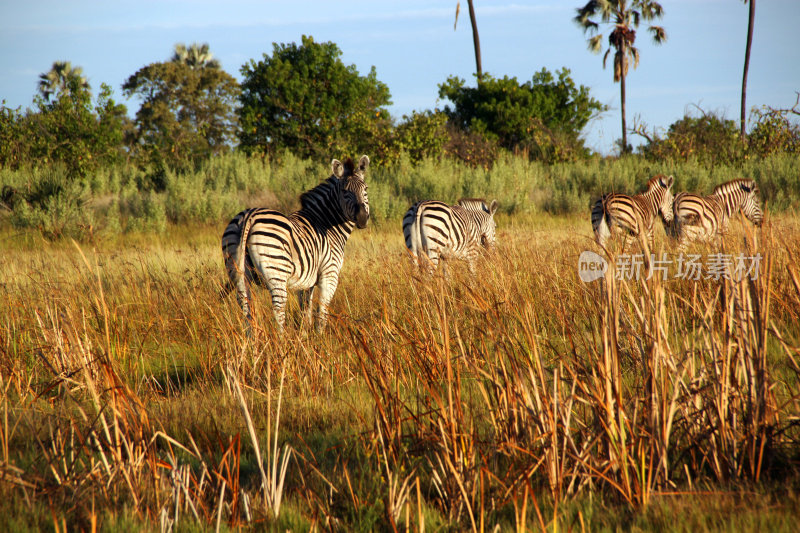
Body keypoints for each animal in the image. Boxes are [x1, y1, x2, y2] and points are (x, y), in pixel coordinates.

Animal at [222, 154, 372, 330]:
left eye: (365, 189)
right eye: (345, 191)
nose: (362, 218)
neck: (326, 223)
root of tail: (249, 216)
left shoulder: (306, 282)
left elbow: (305, 313)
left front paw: (306, 335)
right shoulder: (330, 274)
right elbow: (321, 313)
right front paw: (320, 336)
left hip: (238, 269)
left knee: (246, 308)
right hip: (276, 271)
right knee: (278, 310)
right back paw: (282, 338)